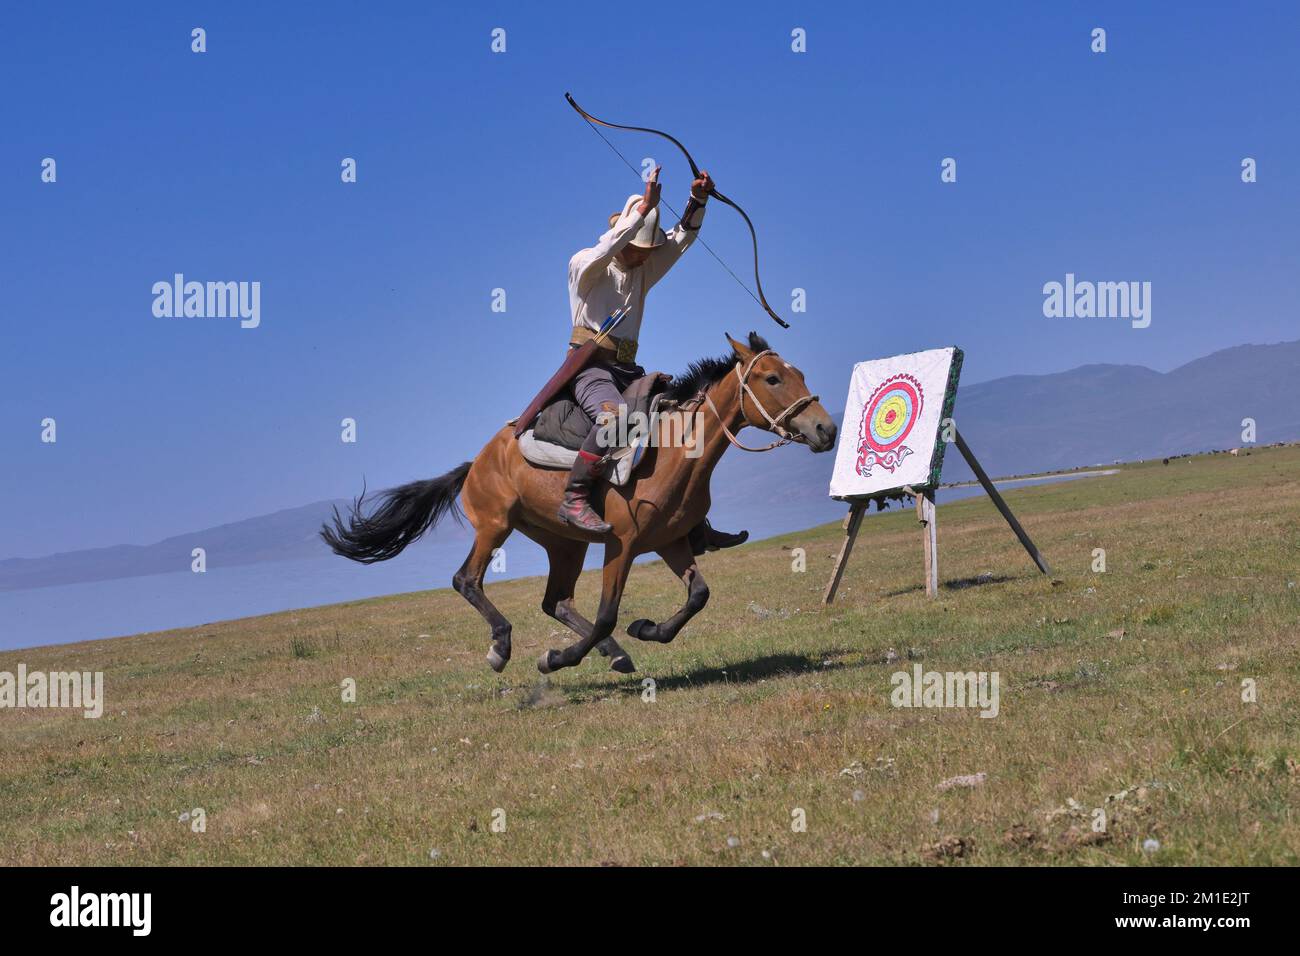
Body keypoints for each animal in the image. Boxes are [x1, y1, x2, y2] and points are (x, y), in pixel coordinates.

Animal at [319, 332, 837, 676]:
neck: (675, 453)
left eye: (798, 374)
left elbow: (698, 596)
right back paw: (502, 647)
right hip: (495, 525)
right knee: (467, 579)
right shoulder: (622, 546)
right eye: (772, 378)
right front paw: (556, 659)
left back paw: (617, 652)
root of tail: (476, 462)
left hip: (564, 543)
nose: (826, 429)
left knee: (556, 601)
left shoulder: (669, 542)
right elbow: (609, 611)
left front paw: (645, 630)